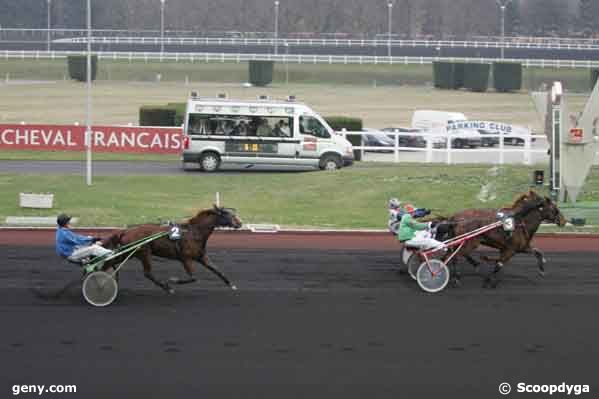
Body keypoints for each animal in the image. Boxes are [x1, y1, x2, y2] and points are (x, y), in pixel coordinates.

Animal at [103, 206, 241, 294]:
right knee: (147, 273)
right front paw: (173, 280)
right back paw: (167, 288)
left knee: (112, 262)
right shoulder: (186, 259)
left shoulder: (201, 257)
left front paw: (232, 285)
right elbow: (193, 278)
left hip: (130, 252)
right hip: (144, 253)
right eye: (228, 215)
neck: (193, 232)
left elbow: (217, 270)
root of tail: (126, 231)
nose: (239, 223)